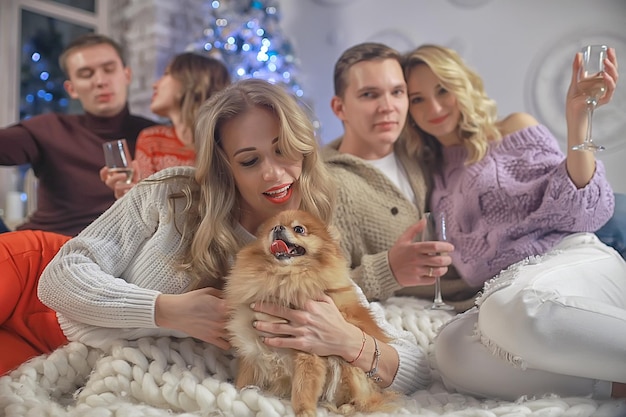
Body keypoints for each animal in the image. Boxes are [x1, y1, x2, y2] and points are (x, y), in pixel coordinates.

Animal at [225, 210, 394, 414]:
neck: (282, 279)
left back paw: (345, 407)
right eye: (272, 228)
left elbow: (303, 388)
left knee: (365, 400)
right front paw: (238, 392)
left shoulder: (309, 352)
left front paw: (303, 411)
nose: (278, 228)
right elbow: (244, 379)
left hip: (349, 367)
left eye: (299, 229)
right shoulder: (252, 346)